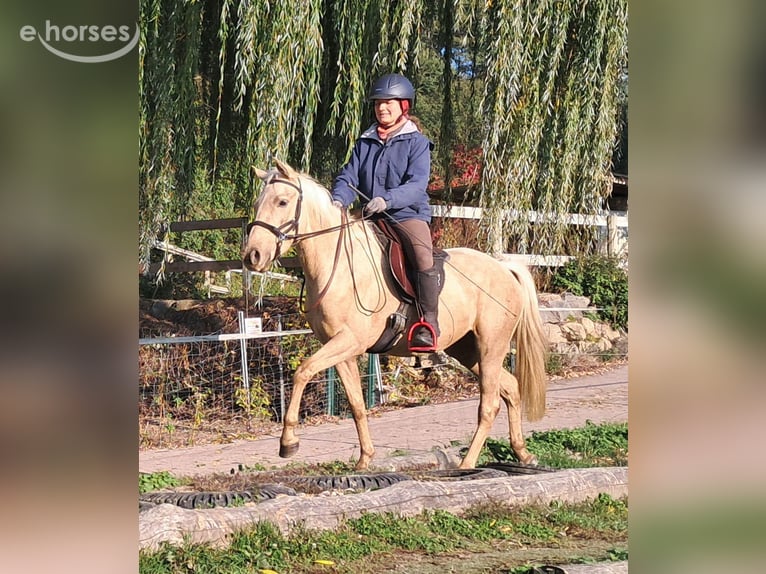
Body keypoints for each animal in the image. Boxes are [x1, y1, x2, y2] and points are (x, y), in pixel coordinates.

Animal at [242, 159, 548, 470]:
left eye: (282, 201)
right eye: (257, 203)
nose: (252, 256)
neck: (341, 267)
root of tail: (503, 267)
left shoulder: (349, 341)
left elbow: (302, 372)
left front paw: (288, 442)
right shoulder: (340, 349)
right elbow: (356, 404)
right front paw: (365, 459)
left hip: (491, 346)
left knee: (489, 404)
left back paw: (467, 465)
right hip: (468, 350)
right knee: (510, 388)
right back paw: (522, 453)